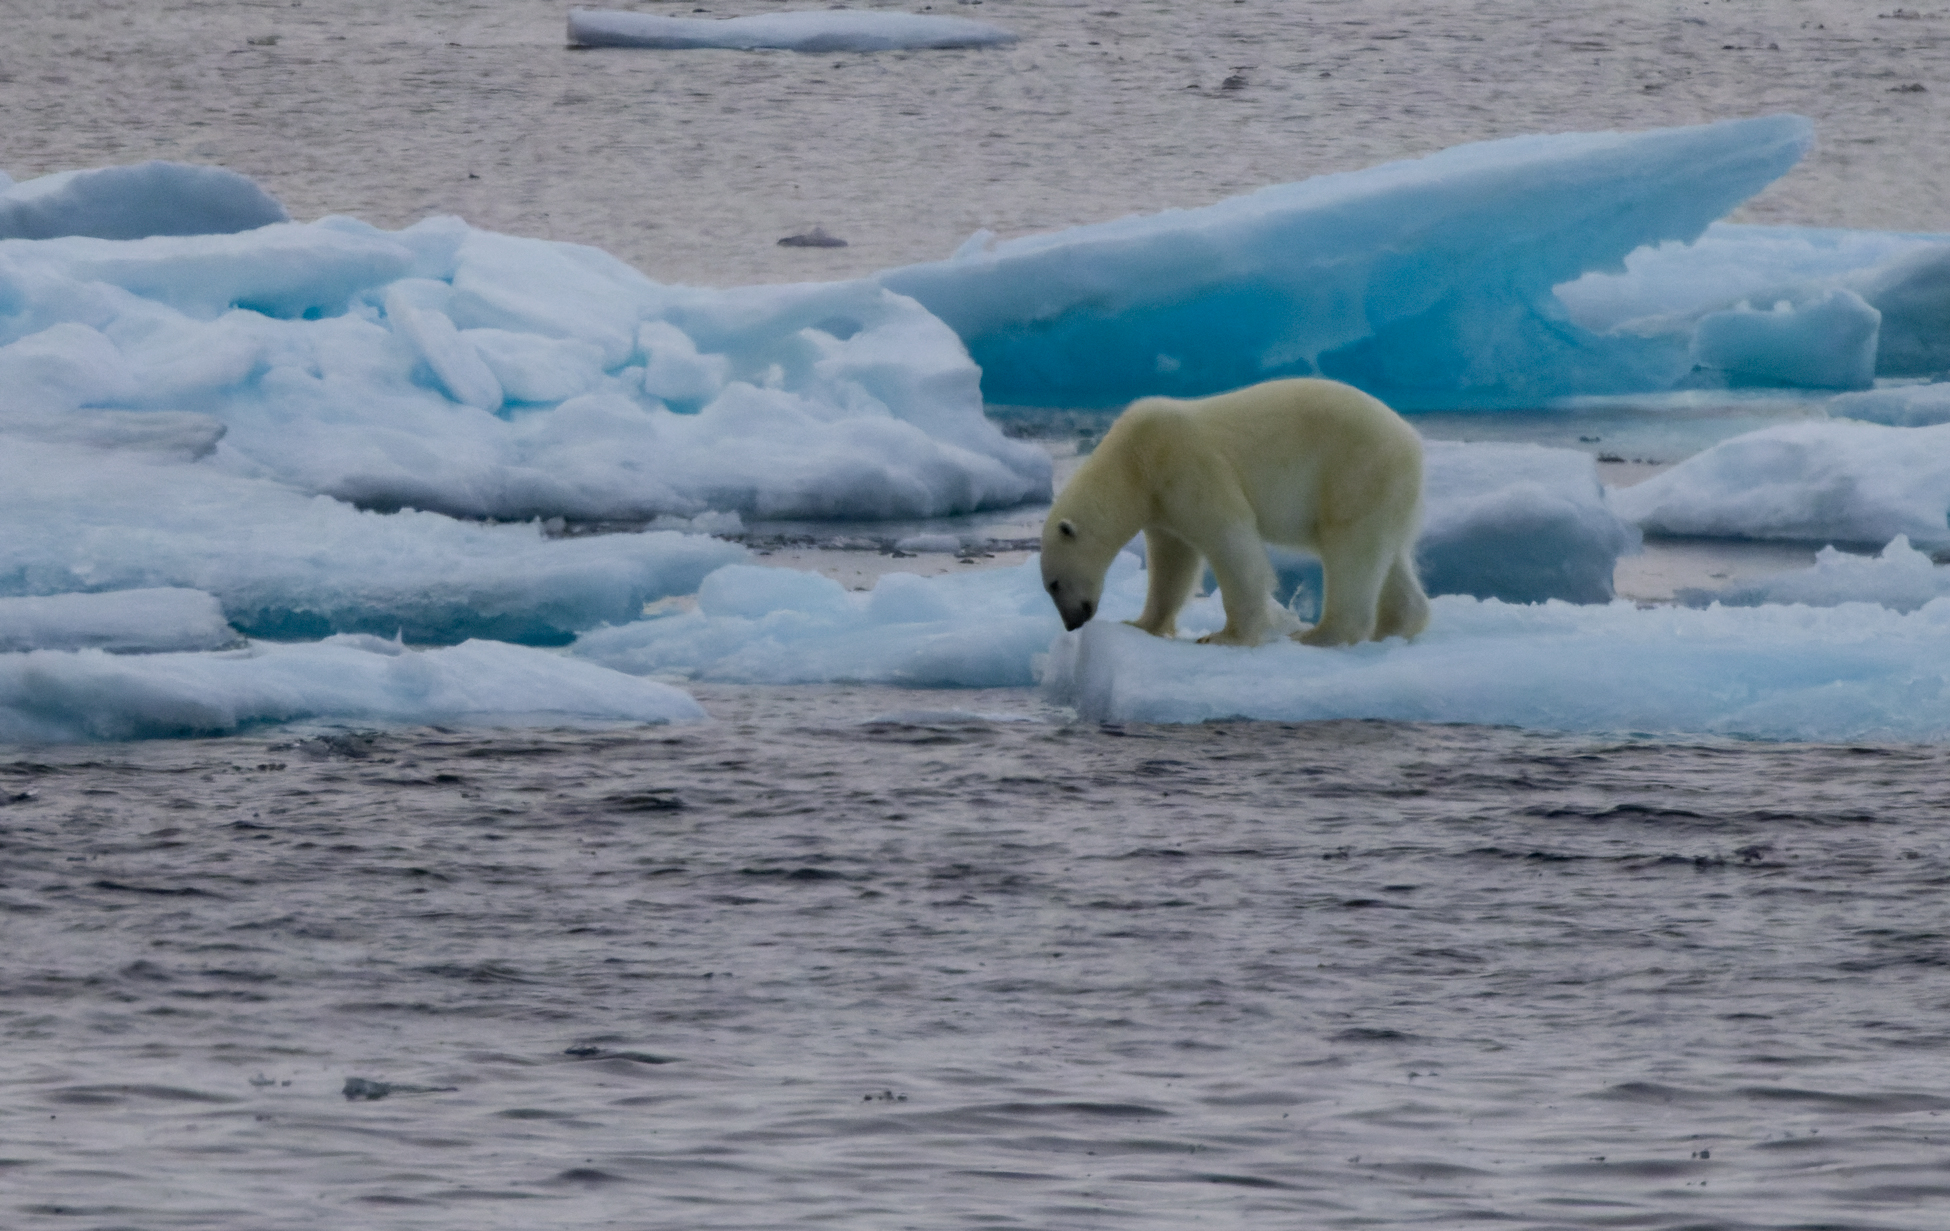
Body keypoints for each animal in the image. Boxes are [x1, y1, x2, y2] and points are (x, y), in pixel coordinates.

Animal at [1037, 378, 1435, 651]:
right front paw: (1140, 623)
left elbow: (1230, 540)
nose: (1073, 623)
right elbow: (1172, 563)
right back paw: (1394, 628)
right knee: (1388, 557)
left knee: (1350, 550)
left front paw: (1225, 637)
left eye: (1053, 583)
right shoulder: (1160, 502)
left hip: (1355, 472)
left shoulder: (1185, 463)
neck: (1130, 463)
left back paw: (1317, 634)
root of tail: (1412, 443)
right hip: (1386, 493)